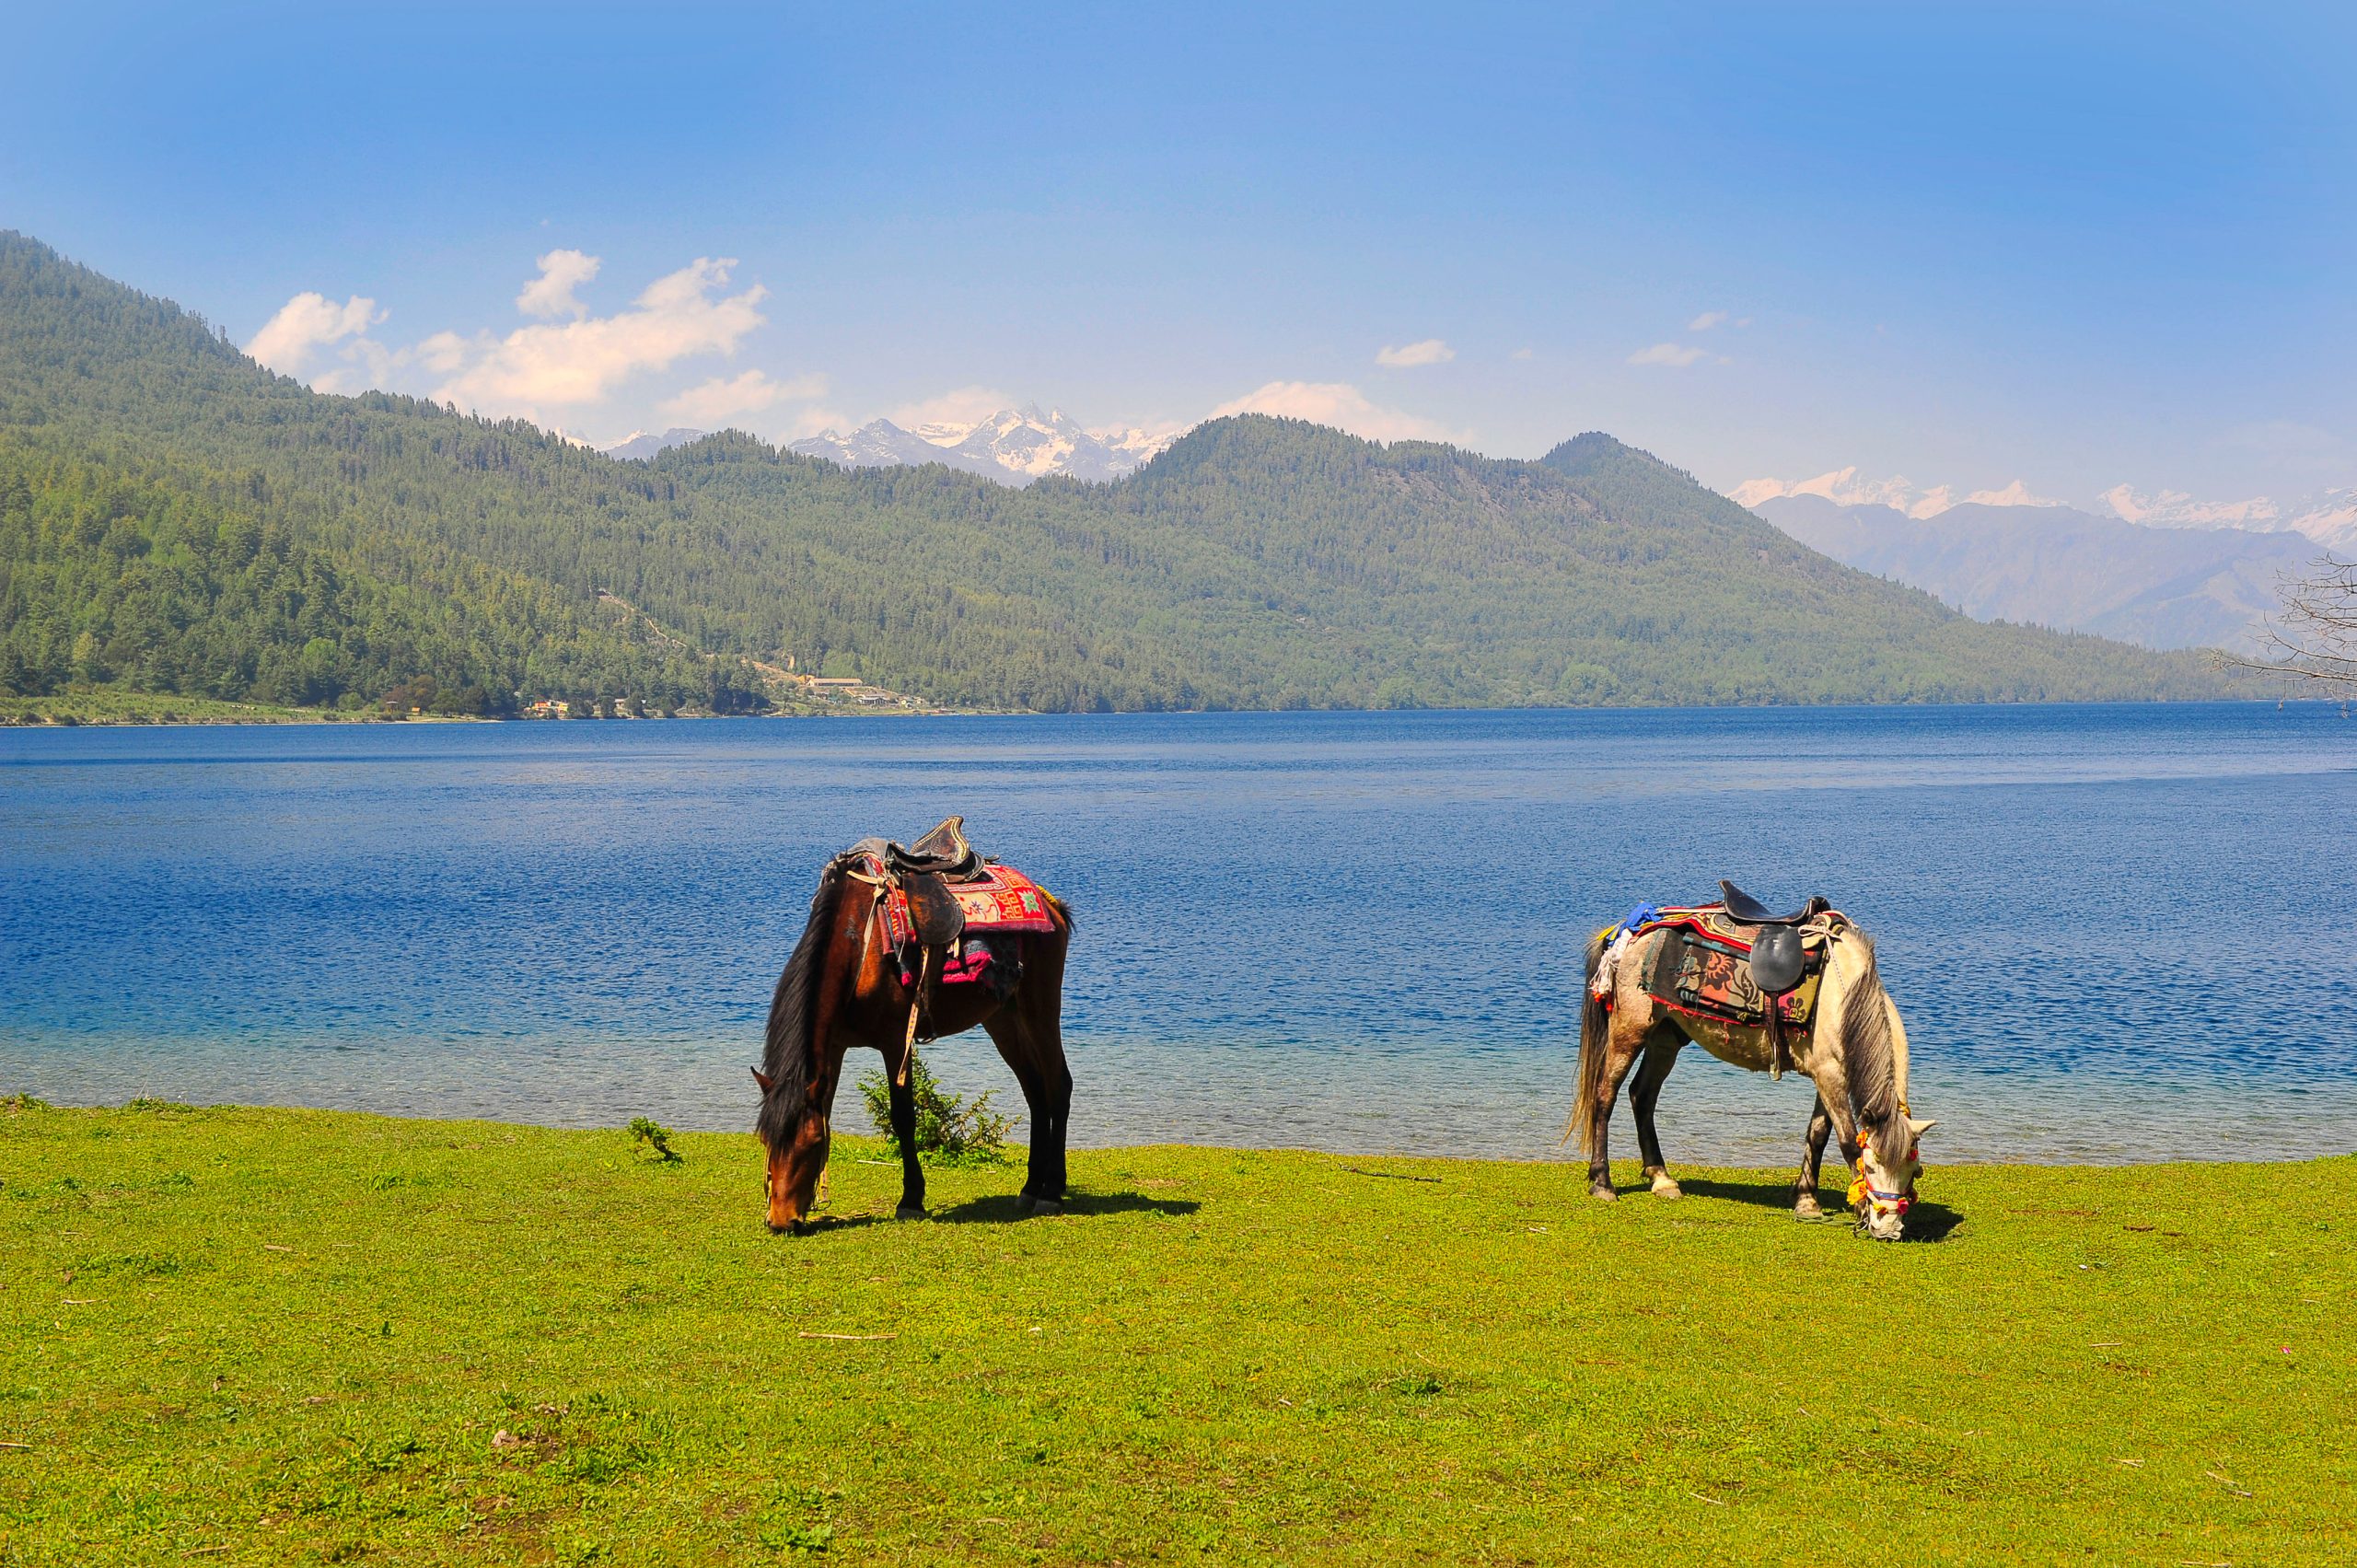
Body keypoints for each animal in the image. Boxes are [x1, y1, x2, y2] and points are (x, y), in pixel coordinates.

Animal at [759, 848, 1074, 1225]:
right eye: (766, 1142)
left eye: (809, 1145)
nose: (780, 1220)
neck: (857, 948)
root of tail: (1050, 904)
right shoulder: (834, 1047)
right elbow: (828, 1110)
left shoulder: (896, 1042)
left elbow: (903, 1119)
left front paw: (911, 1199)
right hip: (1002, 1019)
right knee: (1035, 1092)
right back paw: (1030, 1188)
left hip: (1039, 1009)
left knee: (1058, 1085)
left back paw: (1051, 1191)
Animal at [1564, 919, 1933, 1235]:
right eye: (1871, 1168)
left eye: (1915, 1172)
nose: (1889, 1229)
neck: (1844, 1000)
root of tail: (1630, 933)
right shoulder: (1829, 1076)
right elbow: (1847, 1142)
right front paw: (1857, 1209)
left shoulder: (1828, 1076)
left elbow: (1817, 1135)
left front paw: (1806, 1201)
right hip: (1629, 1031)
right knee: (1605, 1095)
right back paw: (1603, 1183)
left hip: (1665, 1037)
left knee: (1642, 1096)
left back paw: (1662, 1179)